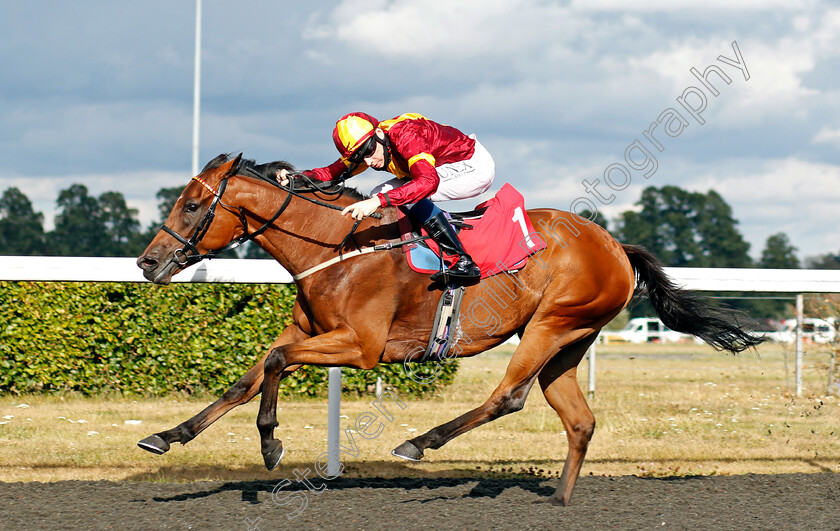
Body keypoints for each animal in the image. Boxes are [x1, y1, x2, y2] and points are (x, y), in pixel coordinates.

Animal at [135, 154, 756, 508]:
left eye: (192, 204)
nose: (147, 262)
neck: (337, 248)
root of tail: (615, 246)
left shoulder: (361, 348)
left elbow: (273, 365)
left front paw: (269, 443)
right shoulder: (305, 330)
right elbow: (250, 376)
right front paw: (168, 435)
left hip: (552, 323)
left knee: (508, 396)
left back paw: (419, 442)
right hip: (569, 341)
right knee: (579, 420)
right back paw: (558, 499)